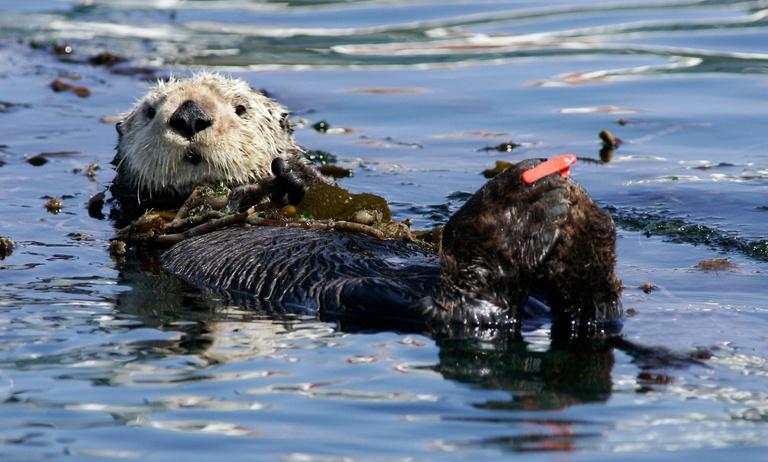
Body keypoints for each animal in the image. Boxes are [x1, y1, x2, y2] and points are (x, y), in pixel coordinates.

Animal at [109, 73, 624, 340]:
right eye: (151, 111)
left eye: (240, 109)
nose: (190, 115)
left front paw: (294, 169)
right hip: (360, 294)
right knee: (466, 305)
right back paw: (518, 208)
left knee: (592, 311)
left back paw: (579, 221)